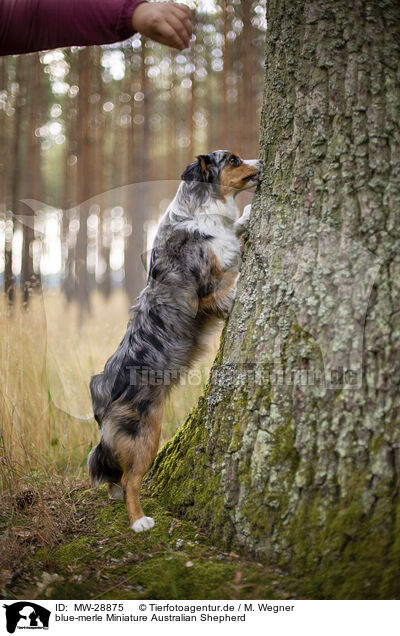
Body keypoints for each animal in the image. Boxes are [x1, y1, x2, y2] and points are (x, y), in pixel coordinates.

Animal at [88, 149, 262, 532]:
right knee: (129, 478)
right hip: (146, 436)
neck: (201, 210)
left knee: (113, 475)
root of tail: (102, 395)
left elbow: (233, 232)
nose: (261, 162)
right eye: (233, 160)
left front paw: (245, 218)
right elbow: (232, 279)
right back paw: (139, 521)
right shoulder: (207, 292)